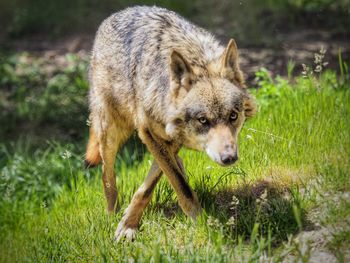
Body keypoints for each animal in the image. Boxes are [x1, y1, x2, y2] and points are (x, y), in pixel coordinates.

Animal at [83, 6, 256, 242]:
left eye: (233, 116)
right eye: (203, 120)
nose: (229, 158)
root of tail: (120, 12)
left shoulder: (169, 139)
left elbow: (150, 186)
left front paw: (128, 223)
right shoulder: (149, 133)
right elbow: (181, 187)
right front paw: (202, 224)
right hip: (109, 132)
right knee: (106, 174)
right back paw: (112, 213)